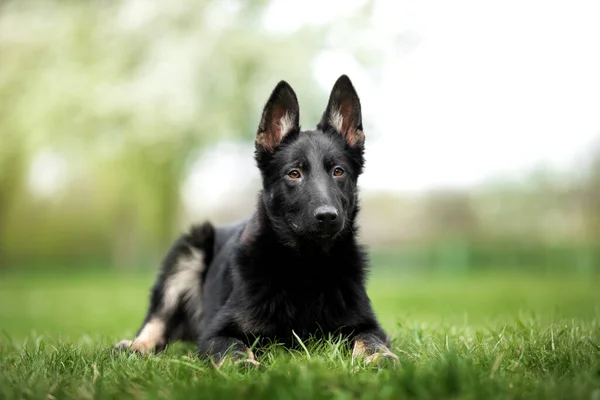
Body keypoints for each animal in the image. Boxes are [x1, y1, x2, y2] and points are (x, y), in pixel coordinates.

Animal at [115, 75, 400, 368]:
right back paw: (135, 346)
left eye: (338, 172)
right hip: (188, 251)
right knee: (156, 321)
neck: (307, 267)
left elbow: (370, 339)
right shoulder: (216, 333)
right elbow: (233, 348)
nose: (327, 216)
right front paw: (243, 366)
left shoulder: (368, 326)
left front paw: (380, 357)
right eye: (294, 174)